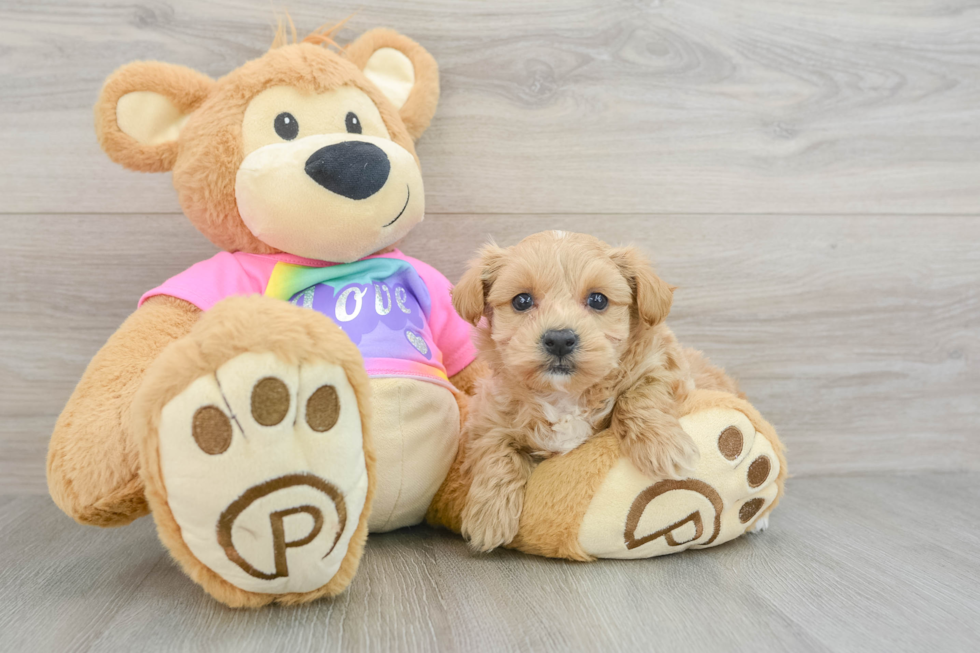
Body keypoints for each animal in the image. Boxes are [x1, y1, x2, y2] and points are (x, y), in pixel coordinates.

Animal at [452, 229, 736, 552]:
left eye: (598, 300)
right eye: (522, 300)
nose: (559, 339)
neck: (565, 396)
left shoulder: (664, 366)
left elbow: (640, 392)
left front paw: (662, 447)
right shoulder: (488, 413)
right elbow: (495, 449)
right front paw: (489, 517)